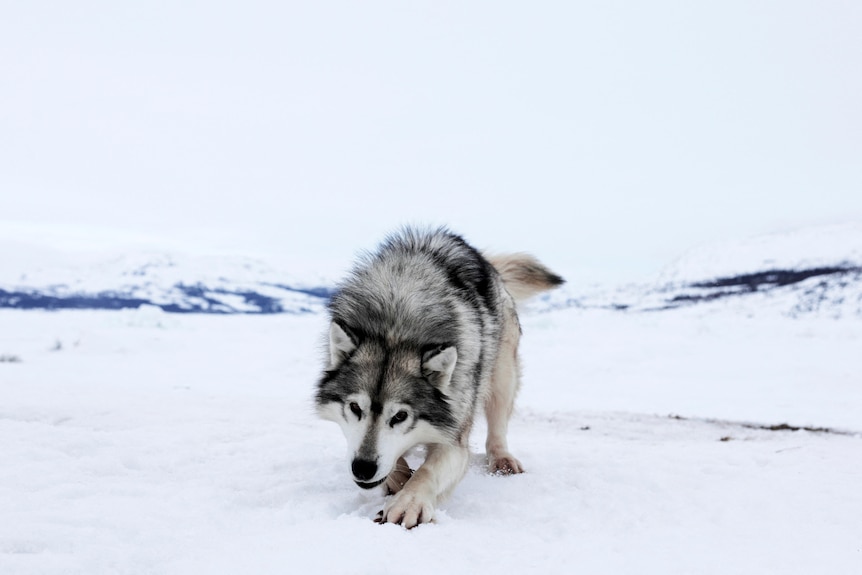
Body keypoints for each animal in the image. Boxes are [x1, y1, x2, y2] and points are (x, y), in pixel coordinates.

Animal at [318, 227, 568, 528]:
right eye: (355, 408)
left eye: (400, 416)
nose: (363, 468)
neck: (395, 326)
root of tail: (487, 262)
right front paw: (397, 476)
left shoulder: (454, 437)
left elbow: (428, 472)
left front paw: (408, 503)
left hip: (501, 377)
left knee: (497, 426)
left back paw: (502, 458)